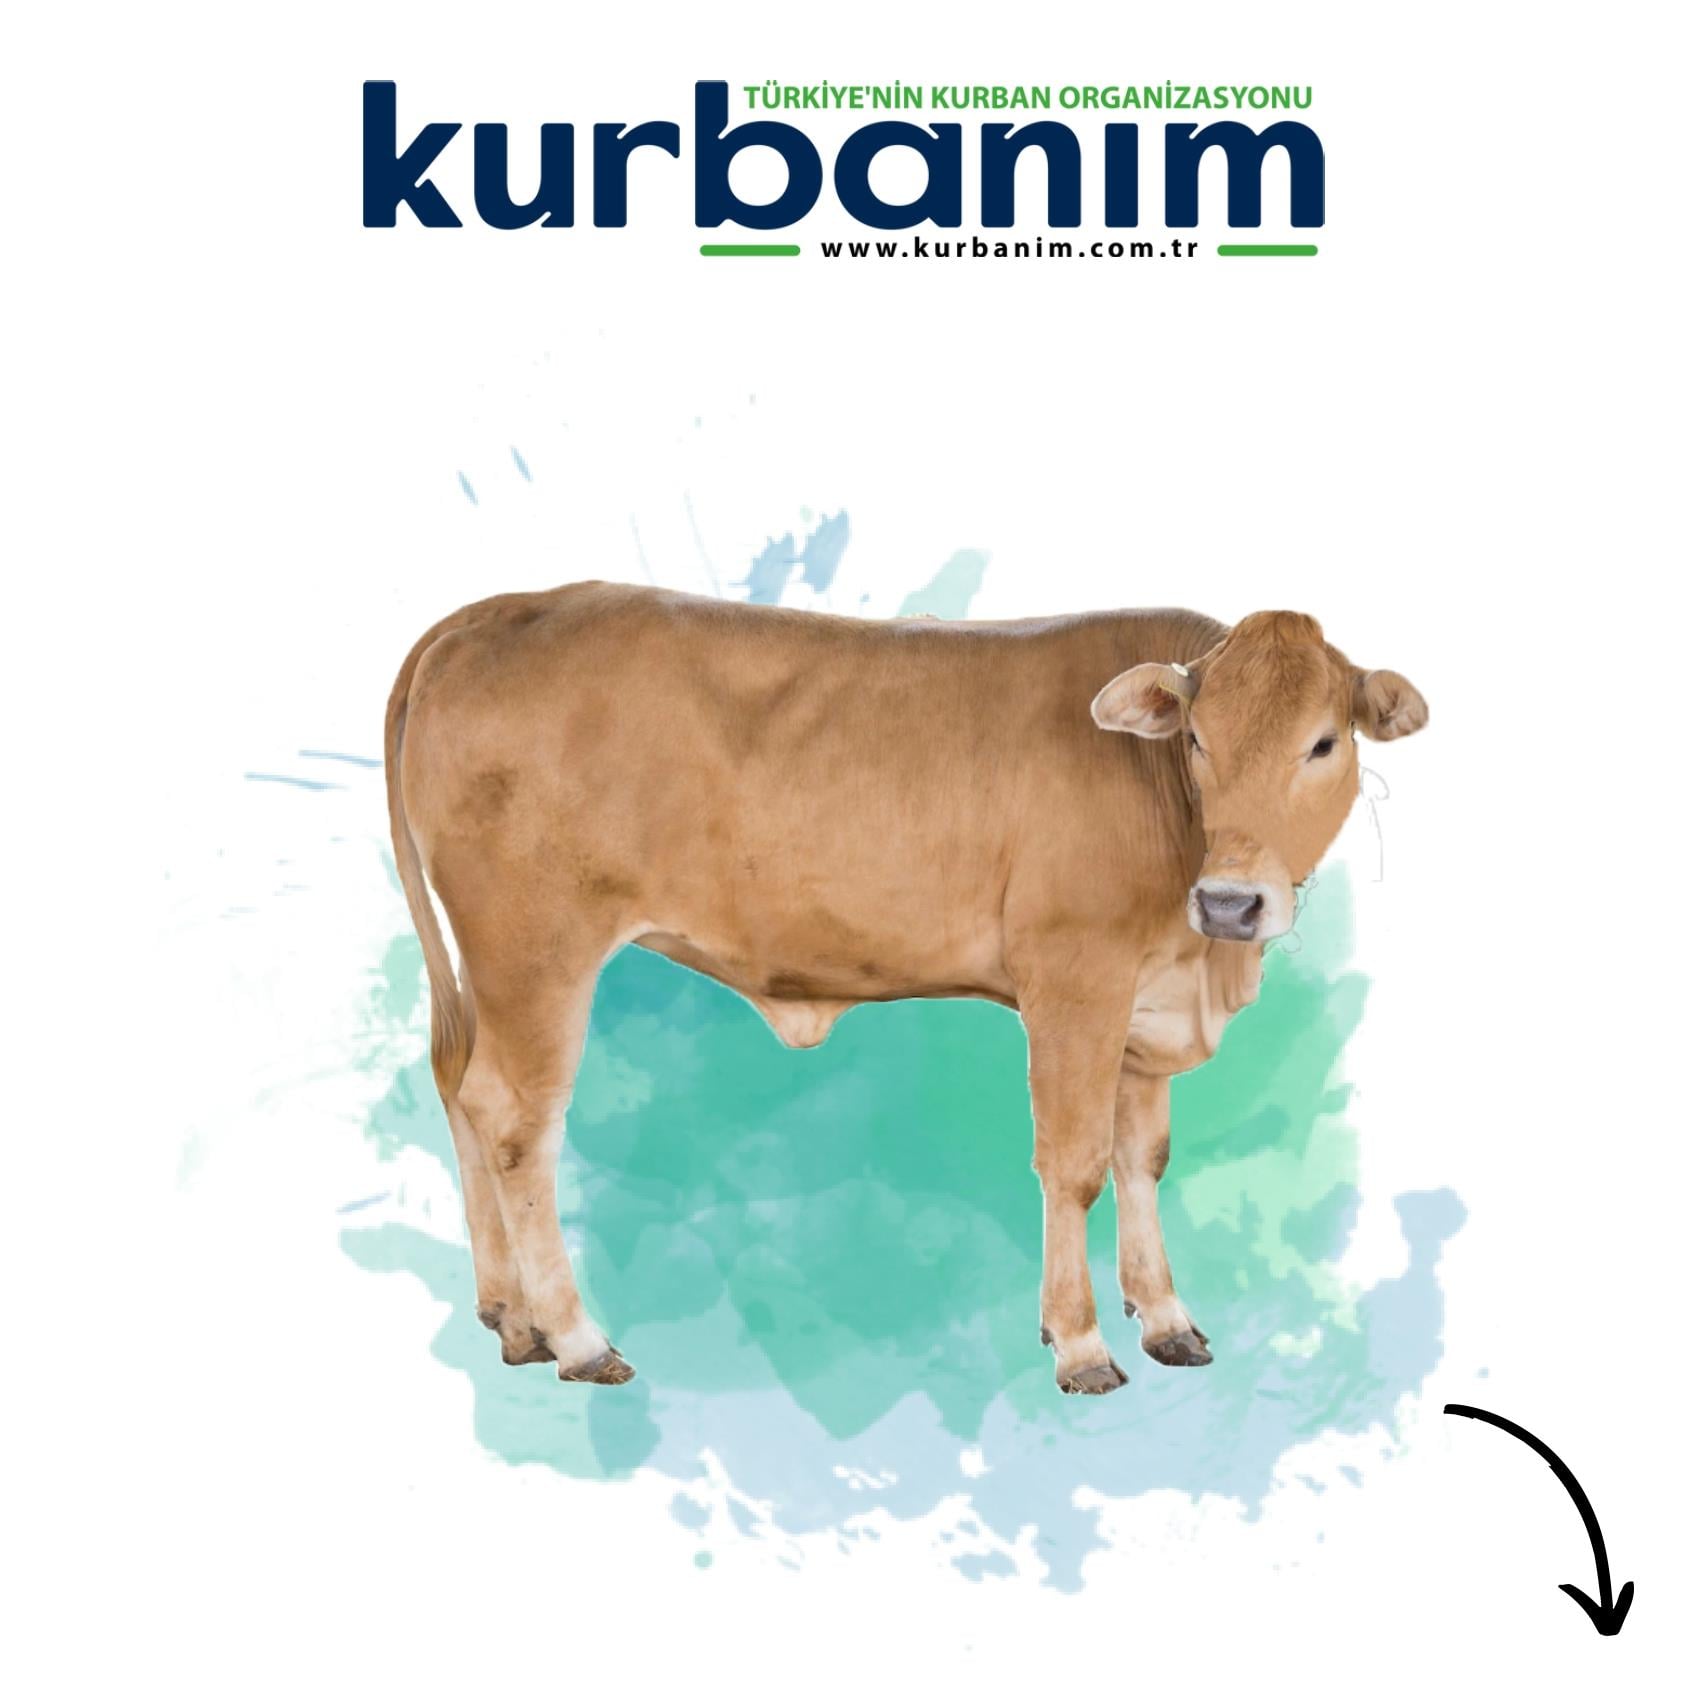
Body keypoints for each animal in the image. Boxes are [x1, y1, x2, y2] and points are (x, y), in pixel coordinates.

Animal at [384, 584, 1427, 1395]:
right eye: (1200, 740)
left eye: (1323, 743)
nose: (1230, 902)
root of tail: (499, 609)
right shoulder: (1072, 977)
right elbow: (1075, 1163)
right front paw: (1080, 1343)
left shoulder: (1146, 1006)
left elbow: (1144, 1160)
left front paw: (1166, 1318)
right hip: (535, 950)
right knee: (514, 1120)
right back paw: (575, 1337)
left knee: (461, 1092)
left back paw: (513, 1319)